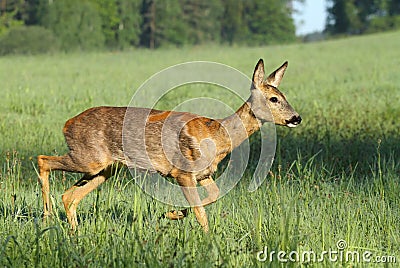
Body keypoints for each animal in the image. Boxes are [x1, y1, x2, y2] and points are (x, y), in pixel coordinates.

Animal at [37, 59, 302, 232]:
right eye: (273, 99)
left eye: (285, 96)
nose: (296, 118)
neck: (218, 137)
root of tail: (67, 124)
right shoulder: (182, 171)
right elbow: (200, 210)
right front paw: (205, 237)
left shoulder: (204, 174)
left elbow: (212, 197)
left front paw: (172, 214)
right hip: (89, 159)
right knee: (43, 161)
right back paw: (47, 217)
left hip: (105, 169)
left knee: (69, 195)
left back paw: (73, 231)